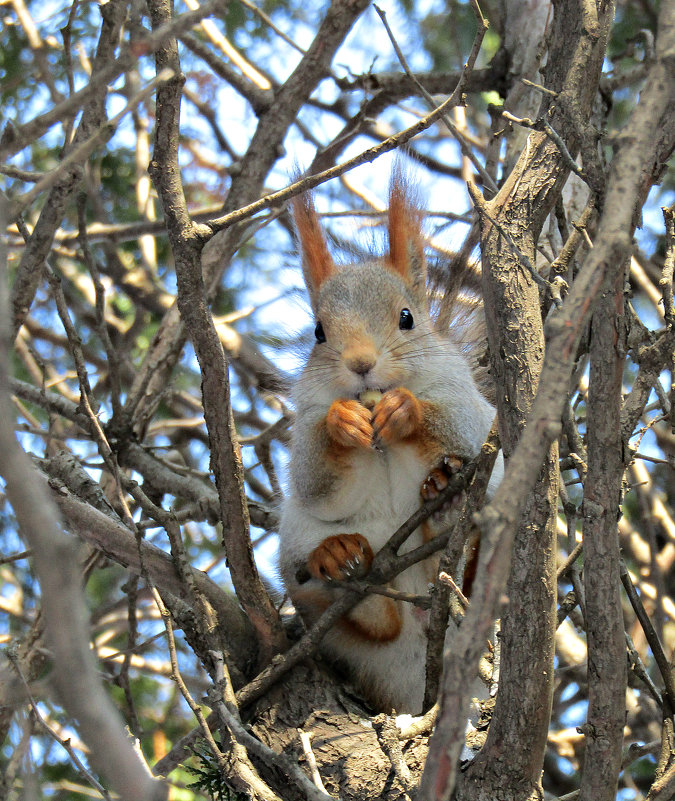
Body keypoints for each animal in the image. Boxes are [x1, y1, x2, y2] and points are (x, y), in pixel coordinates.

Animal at [278, 170, 504, 712]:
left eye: (407, 317)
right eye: (318, 332)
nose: (361, 363)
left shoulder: (470, 406)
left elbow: (459, 422)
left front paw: (405, 411)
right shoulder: (305, 425)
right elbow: (314, 480)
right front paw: (342, 424)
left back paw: (445, 503)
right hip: (295, 542)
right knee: (360, 614)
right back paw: (340, 563)